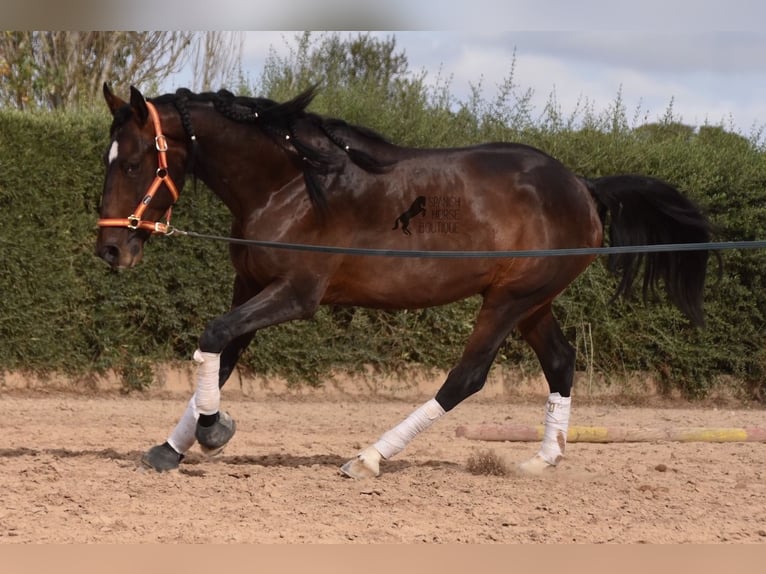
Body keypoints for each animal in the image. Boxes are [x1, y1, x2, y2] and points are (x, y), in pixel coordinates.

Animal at [96, 84, 712, 476]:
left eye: (132, 163)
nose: (110, 250)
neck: (291, 185)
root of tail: (583, 186)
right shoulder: (250, 287)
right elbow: (219, 355)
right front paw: (172, 448)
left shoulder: (295, 294)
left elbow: (213, 337)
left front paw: (212, 431)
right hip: (533, 303)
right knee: (560, 362)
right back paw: (542, 460)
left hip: (510, 299)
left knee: (466, 377)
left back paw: (369, 458)